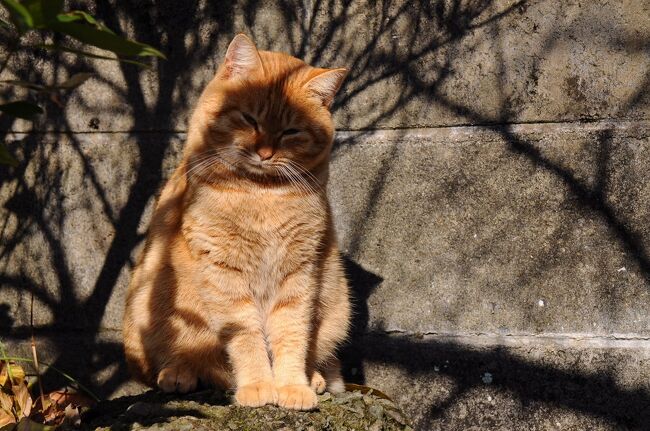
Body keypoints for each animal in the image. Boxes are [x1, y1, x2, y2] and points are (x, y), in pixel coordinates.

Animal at [124, 34, 352, 412]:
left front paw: (293, 386)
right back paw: (179, 374)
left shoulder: (299, 273)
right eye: (249, 119)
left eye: (291, 131)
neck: (261, 194)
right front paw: (259, 385)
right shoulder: (224, 273)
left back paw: (316, 378)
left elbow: (292, 333)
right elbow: (246, 337)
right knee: (174, 361)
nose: (265, 153)